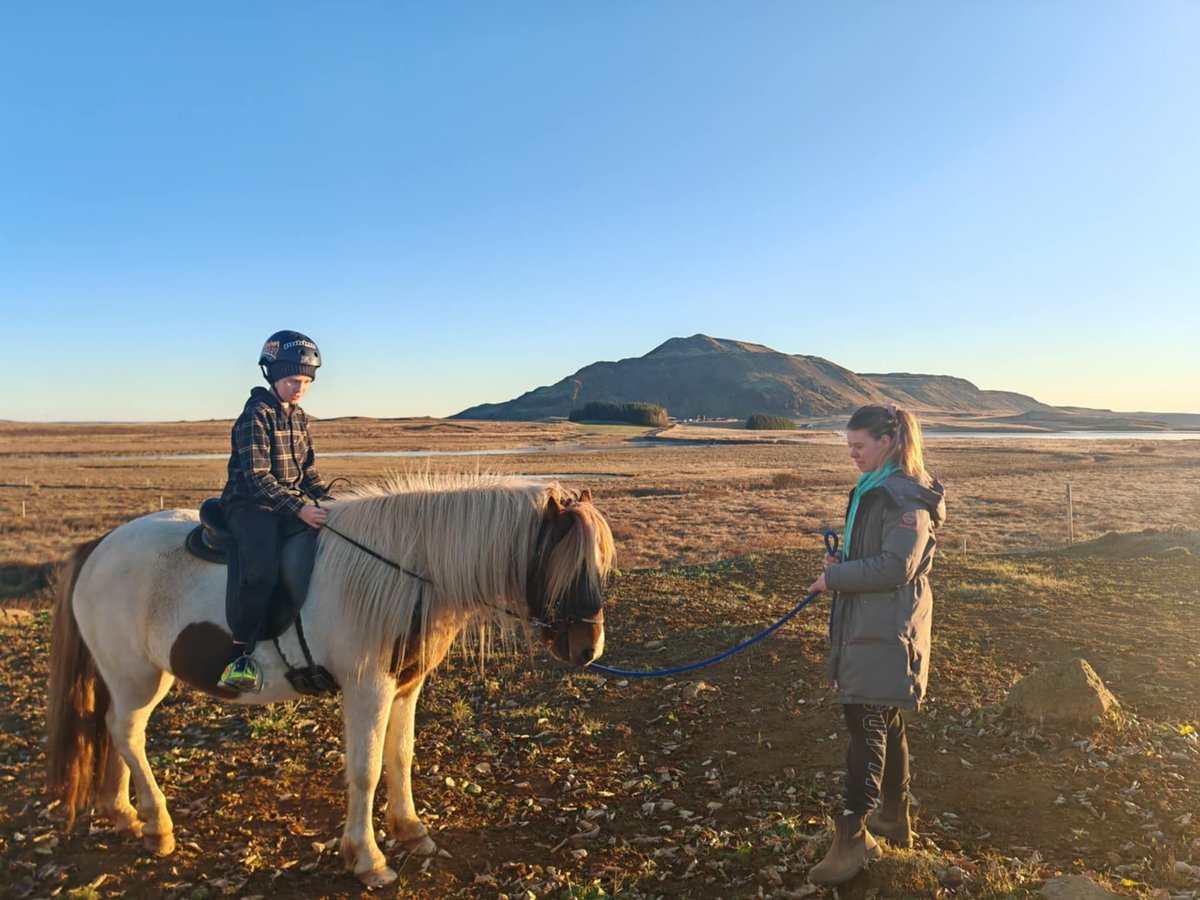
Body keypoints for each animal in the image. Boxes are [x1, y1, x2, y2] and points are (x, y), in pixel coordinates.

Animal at [45, 480, 614, 888]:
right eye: (564, 564)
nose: (589, 648)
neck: (406, 573)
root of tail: (98, 546)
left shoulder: (404, 687)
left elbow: (400, 756)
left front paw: (410, 830)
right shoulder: (368, 689)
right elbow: (364, 771)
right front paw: (367, 858)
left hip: (128, 677)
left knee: (113, 730)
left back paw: (124, 814)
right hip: (137, 676)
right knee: (127, 733)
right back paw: (157, 825)